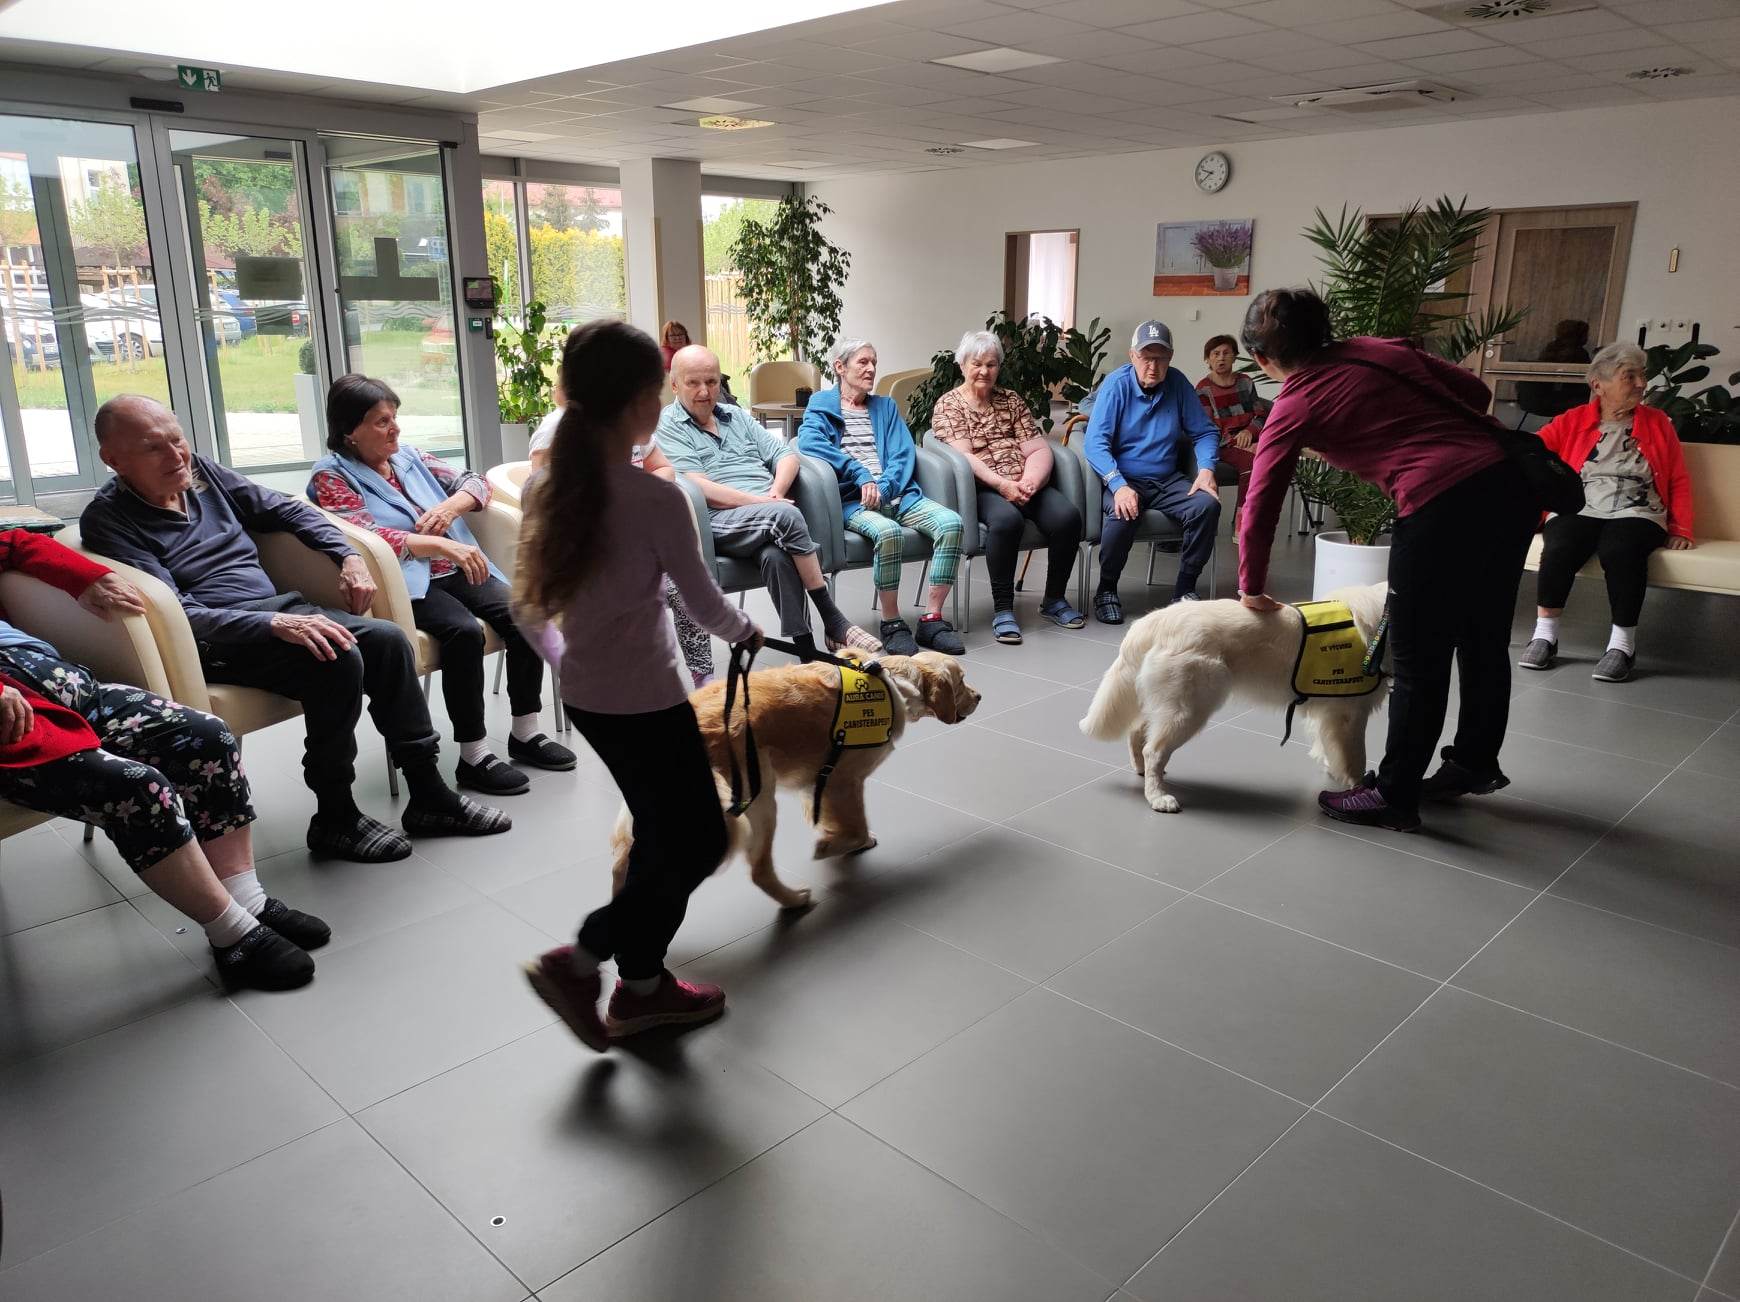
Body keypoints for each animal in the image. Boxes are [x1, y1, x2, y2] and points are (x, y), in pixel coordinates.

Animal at [609, 651, 981, 910]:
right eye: (962, 680)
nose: (979, 697)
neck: (894, 685)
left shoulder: (818, 783)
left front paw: (846, 841)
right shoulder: (843, 779)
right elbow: (856, 824)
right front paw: (833, 845)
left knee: (620, 864)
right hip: (758, 798)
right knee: (758, 870)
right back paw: (794, 900)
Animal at [1079, 582, 1390, 813]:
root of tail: (1153, 620)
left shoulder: (1329, 711)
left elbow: (1329, 746)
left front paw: (1332, 767)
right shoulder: (1350, 713)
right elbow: (1355, 756)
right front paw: (1358, 786)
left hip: (1170, 702)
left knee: (1138, 734)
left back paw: (1144, 773)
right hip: (1190, 708)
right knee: (1153, 750)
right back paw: (1157, 797)